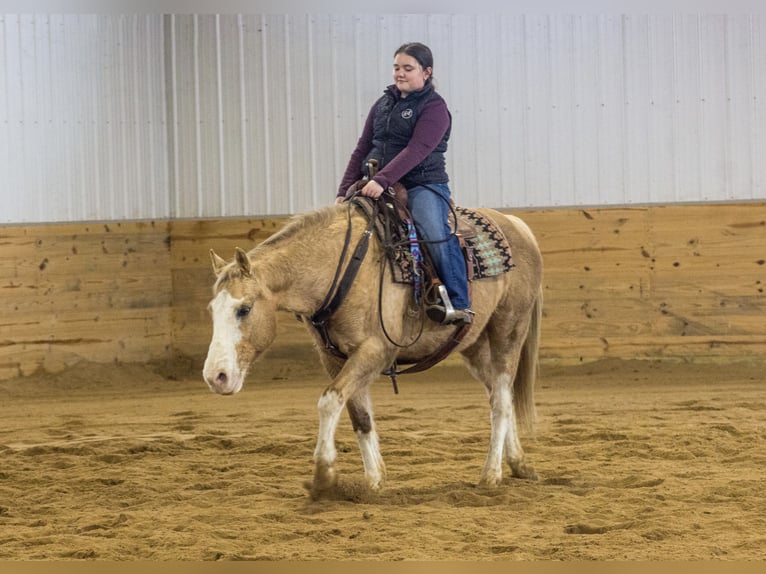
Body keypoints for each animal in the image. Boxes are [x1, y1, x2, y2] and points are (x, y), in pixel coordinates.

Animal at [201, 202, 544, 500]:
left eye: (244, 309)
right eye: (211, 310)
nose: (216, 376)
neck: (337, 269)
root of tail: (518, 225)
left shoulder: (374, 352)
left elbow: (329, 401)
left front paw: (324, 476)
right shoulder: (334, 357)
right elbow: (360, 416)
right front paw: (374, 481)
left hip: (508, 331)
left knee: (501, 400)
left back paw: (491, 474)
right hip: (475, 346)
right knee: (501, 393)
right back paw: (518, 463)